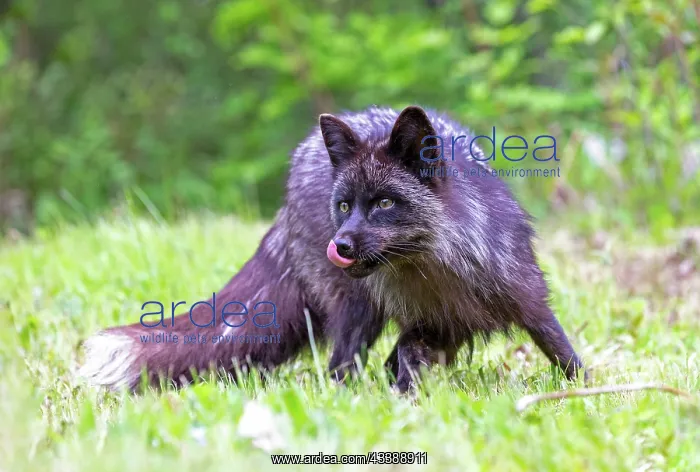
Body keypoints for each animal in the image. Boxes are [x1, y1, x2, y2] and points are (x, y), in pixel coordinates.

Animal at [78, 105, 584, 393]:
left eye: (384, 203)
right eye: (345, 205)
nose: (337, 245)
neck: (434, 275)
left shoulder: (518, 301)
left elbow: (563, 352)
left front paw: (586, 391)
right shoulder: (424, 326)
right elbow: (400, 363)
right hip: (357, 311)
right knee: (341, 368)